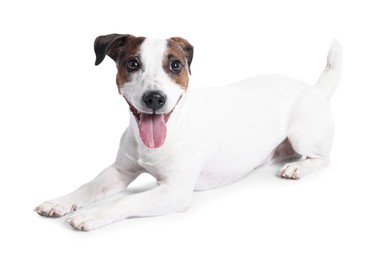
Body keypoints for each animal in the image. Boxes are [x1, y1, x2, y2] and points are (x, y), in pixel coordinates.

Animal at [34, 33, 344, 231]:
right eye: (132, 64)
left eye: (175, 65)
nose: (155, 98)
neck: (169, 130)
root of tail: (314, 88)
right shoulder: (120, 171)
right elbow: (89, 186)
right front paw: (60, 202)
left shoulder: (174, 191)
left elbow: (127, 199)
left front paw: (92, 215)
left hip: (303, 134)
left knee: (323, 159)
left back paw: (298, 168)